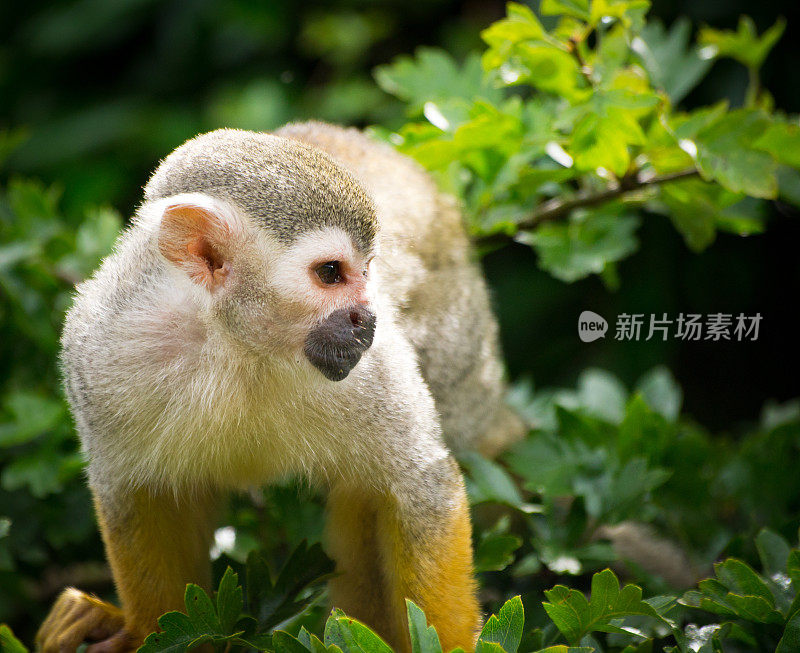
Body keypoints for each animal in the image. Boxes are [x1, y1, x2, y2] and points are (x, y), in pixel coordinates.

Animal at [36, 123, 524, 652]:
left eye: (368, 269)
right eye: (330, 272)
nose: (367, 318)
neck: (235, 343)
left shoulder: (375, 367)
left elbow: (419, 488)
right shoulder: (100, 351)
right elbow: (139, 495)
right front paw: (142, 631)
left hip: (461, 336)